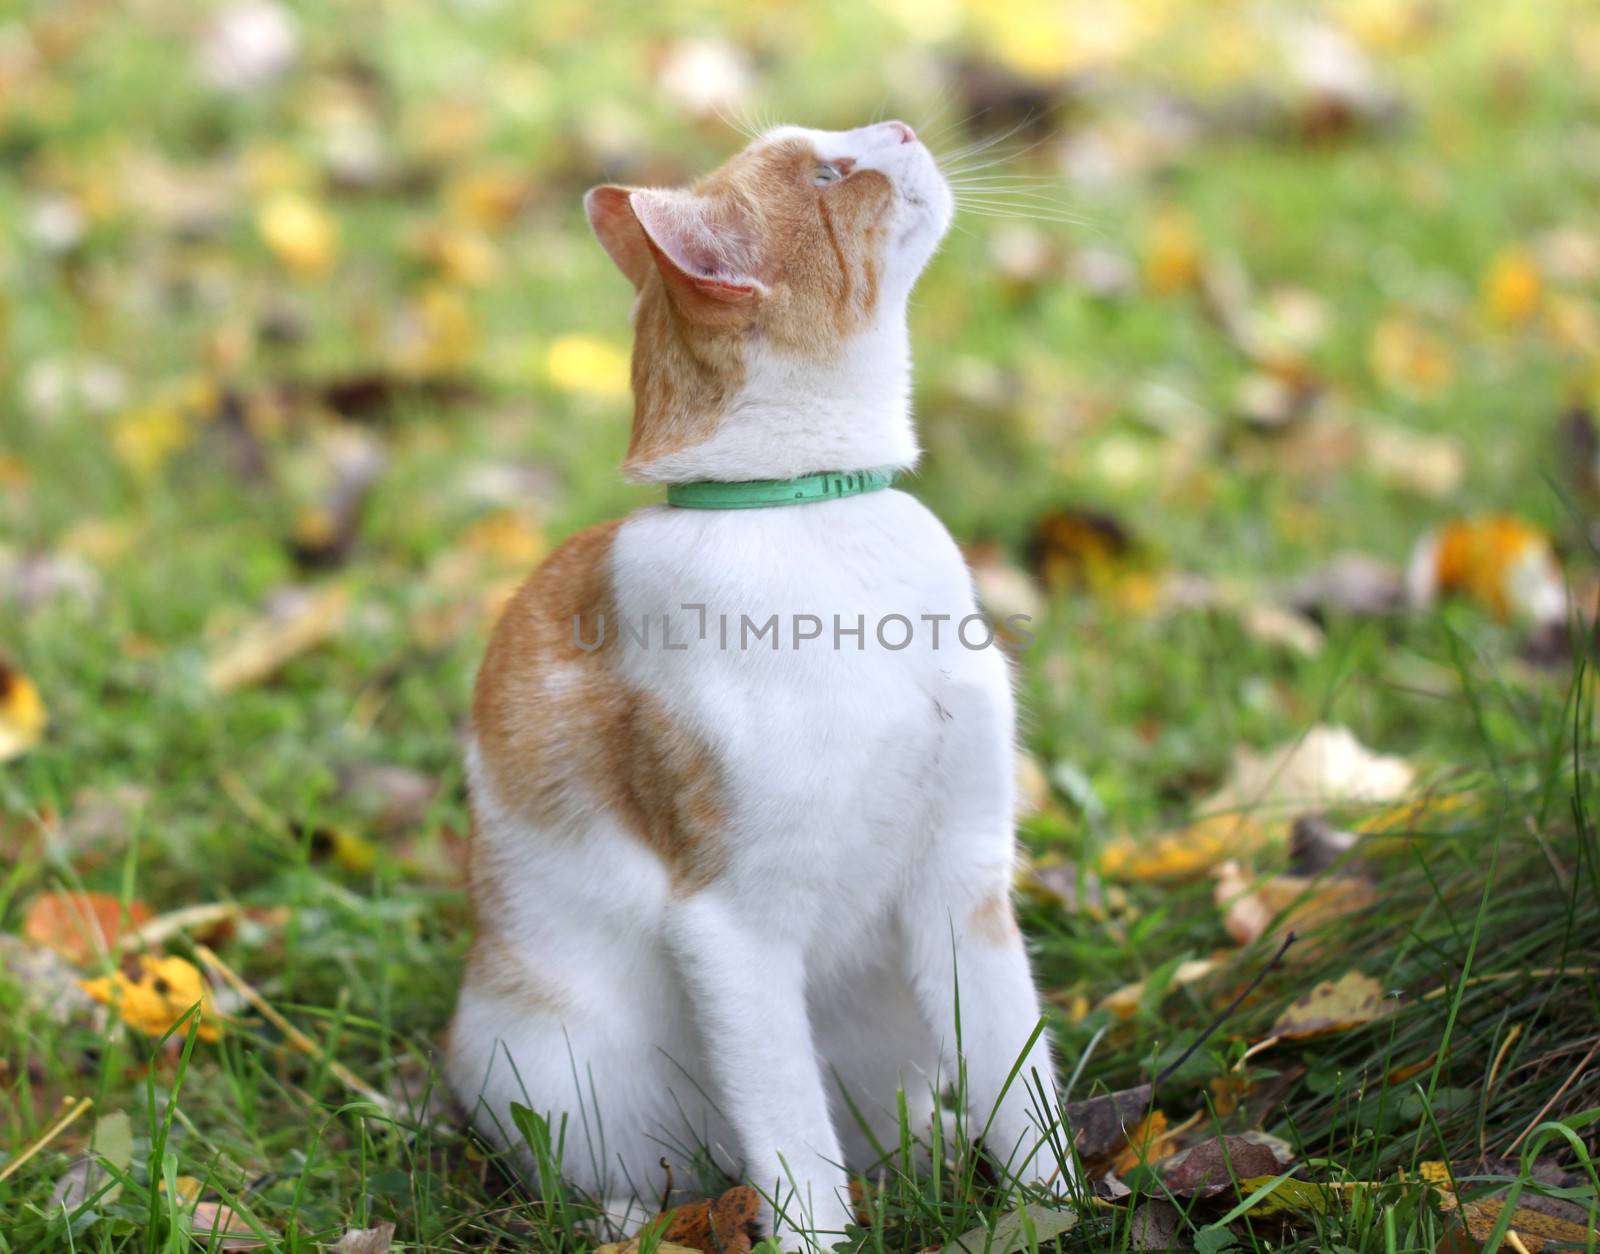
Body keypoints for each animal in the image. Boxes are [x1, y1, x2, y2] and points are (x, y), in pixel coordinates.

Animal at [444, 122, 1062, 1247]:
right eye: (826, 173)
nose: (902, 128)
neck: (815, 518)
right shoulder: (734, 926)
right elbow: (795, 1147)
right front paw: (816, 1230)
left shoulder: (964, 878)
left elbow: (1021, 1080)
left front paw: (1063, 1212)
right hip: (563, 1073)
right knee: (642, 1175)